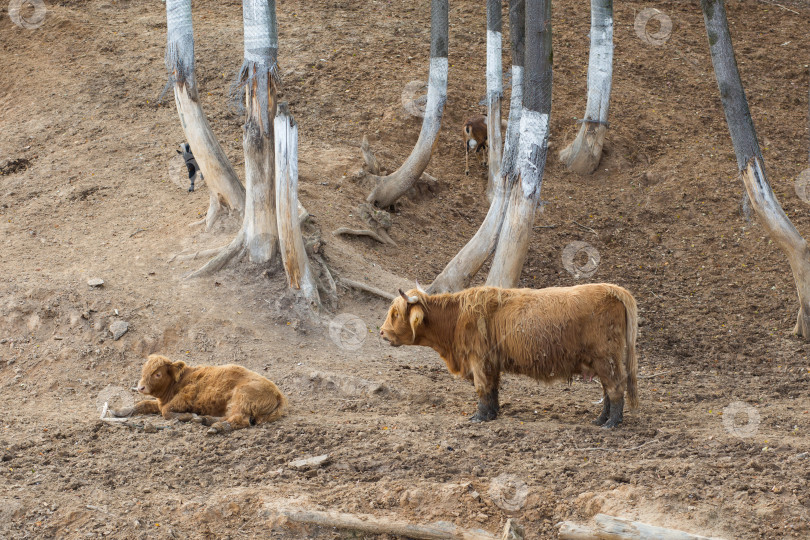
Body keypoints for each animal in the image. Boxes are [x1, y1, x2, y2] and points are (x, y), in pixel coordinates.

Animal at [115, 354, 286, 434]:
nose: (141, 387)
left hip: (241, 398)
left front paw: (189, 416)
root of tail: (278, 394)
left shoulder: (184, 398)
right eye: (143, 369)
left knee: (239, 419)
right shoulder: (160, 402)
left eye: (158, 374)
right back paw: (206, 420)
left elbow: (166, 412)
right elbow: (142, 404)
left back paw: (215, 427)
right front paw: (119, 411)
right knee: (229, 416)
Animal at [378, 284, 636, 428]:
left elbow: (482, 388)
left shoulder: (478, 360)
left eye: (395, 313)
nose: (381, 332)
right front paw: (492, 414)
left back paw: (611, 423)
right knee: (607, 390)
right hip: (602, 361)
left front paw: (478, 417)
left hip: (606, 358)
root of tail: (613, 289)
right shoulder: (490, 362)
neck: (455, 319)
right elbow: (492, 389)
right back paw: (600, 419)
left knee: (615, 388)